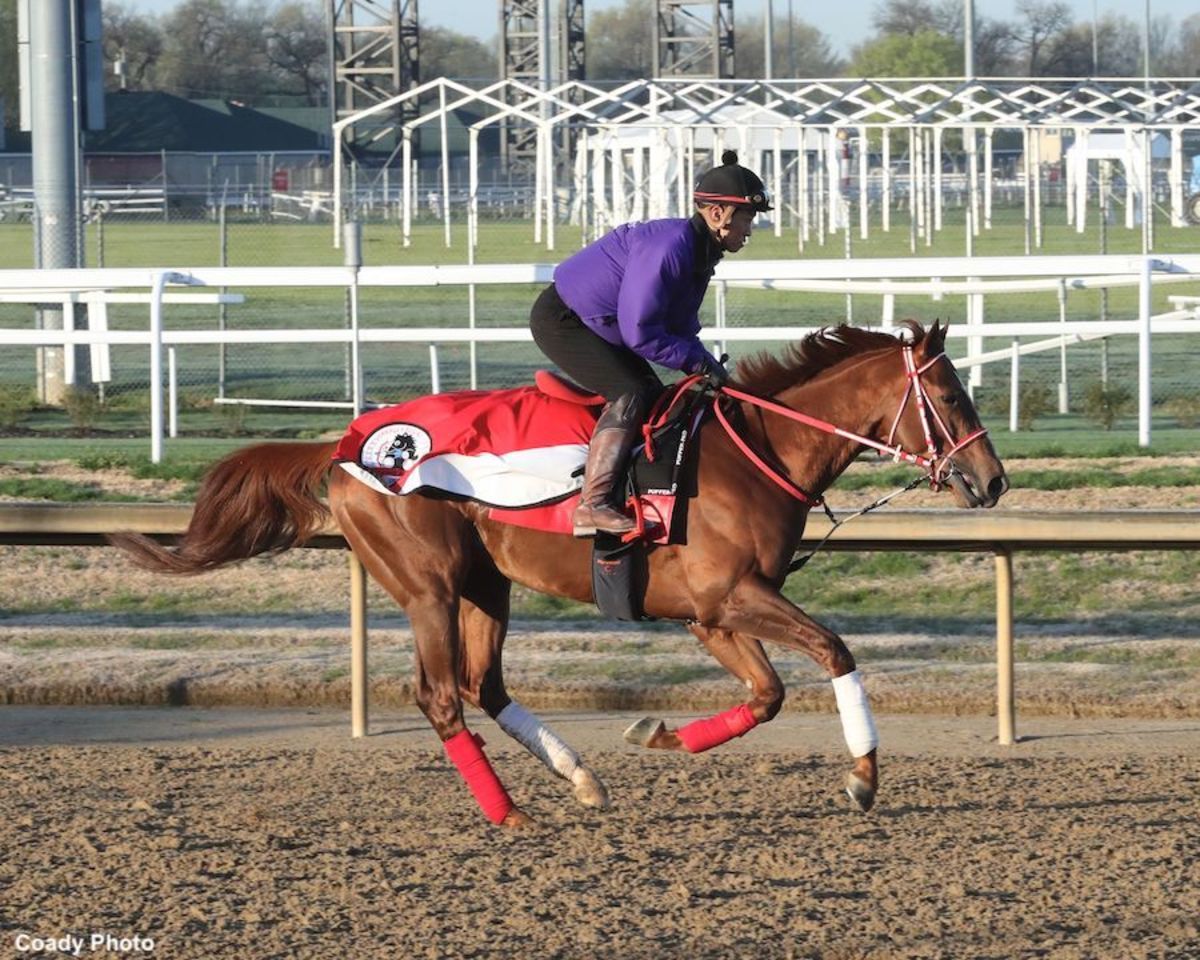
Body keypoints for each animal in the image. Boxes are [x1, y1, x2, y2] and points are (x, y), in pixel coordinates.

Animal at [111, 321, 1008, 829]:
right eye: (949, 395)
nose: (993, 481)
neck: (754, 451)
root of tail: (345, 445)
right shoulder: (731, 597)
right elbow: (833, 653)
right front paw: (862, 779)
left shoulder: (711, 614)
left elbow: (768, 694)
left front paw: (660, 734)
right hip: (429, 584)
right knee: (441, 695)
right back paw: (507, 813)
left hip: (488, 584)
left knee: (484, 684)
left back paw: (579, 779)